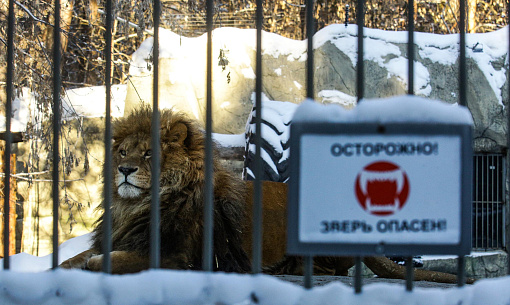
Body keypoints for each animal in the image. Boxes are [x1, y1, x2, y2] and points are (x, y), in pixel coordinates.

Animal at [61, 107, 472, 282]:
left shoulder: (181, 258)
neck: (135, 206)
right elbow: (75, 257)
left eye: (148, 154)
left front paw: (95, 264)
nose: (124, 170)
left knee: (334, 267)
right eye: (122, 152)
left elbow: (110, 261)